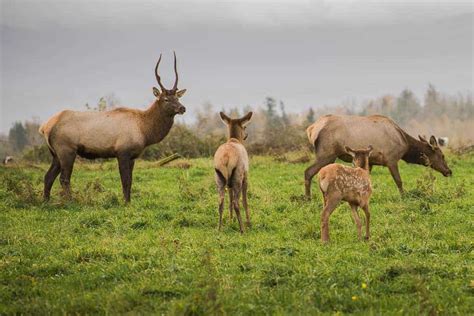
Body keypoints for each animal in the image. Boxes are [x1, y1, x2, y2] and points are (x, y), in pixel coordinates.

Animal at [39, 52, 187, 201]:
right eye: (166, 99)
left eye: (178, 98)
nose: (182, 108)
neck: (144, 130)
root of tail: (45, 127)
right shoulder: (122, 152)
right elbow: (125, 181)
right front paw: (125, 202)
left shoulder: (132, 156)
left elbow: (130, 181)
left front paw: (129, 201)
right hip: (66, 150)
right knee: (64, 178)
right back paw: (70, 201)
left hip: (55, 153)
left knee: (48, 176)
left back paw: (46, 201)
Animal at [304, 113, 452, 199]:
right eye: (442, 155)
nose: (449, 171)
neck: (405, 144)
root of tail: (311, 130)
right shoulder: (391, 158)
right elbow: (398, 180)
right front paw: (403, 196)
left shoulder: (371, 161)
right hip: (327, 154)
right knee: (308, 172)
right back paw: (308, 198)